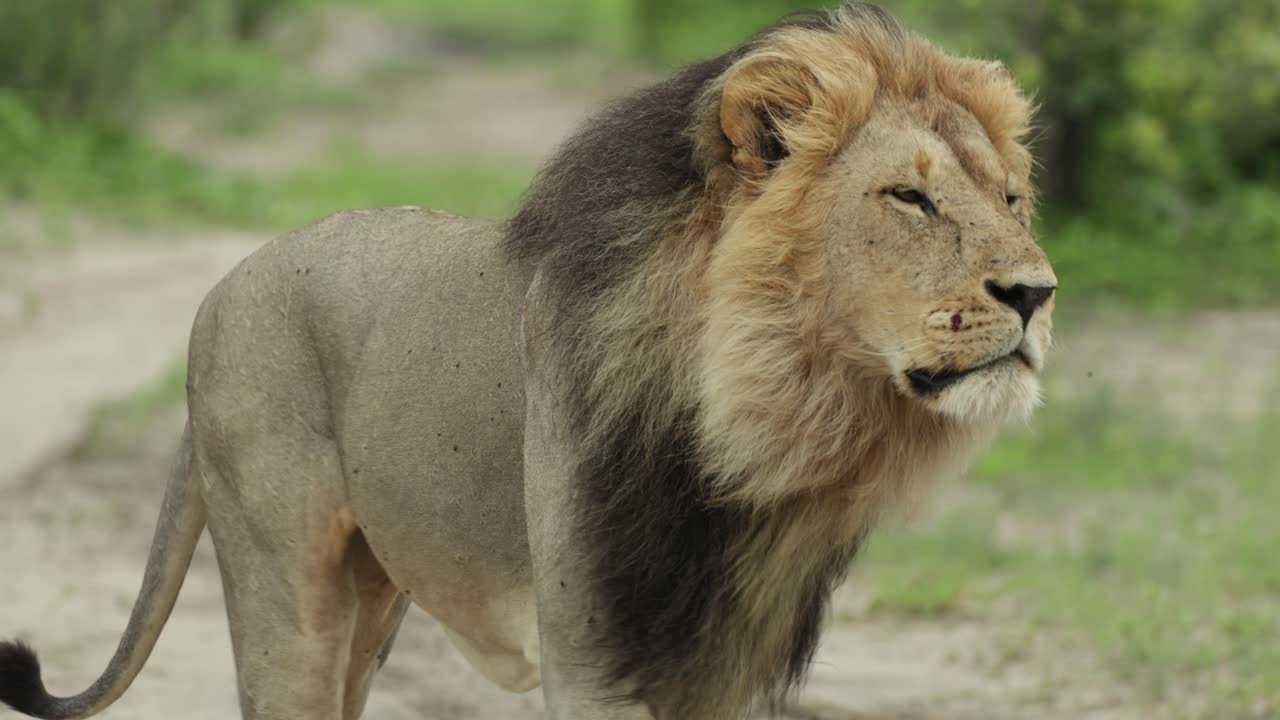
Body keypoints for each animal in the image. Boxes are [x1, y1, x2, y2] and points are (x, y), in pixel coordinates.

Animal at [0, 4, 1055, 719]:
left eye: (1009, 198)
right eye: (909, 199)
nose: (1037, 294)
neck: (760, 439)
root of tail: (219, 291)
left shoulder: (722, 663)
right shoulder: (593, 657)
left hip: (372, 592)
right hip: (281, 582)